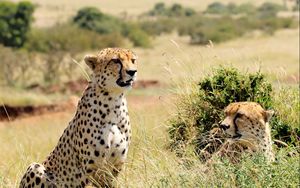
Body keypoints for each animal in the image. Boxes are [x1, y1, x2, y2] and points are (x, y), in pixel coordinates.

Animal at [19, 48, 139, 187]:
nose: (132, 72)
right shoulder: (90, 169)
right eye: (115, 60)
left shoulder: (114, 167)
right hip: (35, 167)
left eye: (133, 60)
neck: (114, 101)